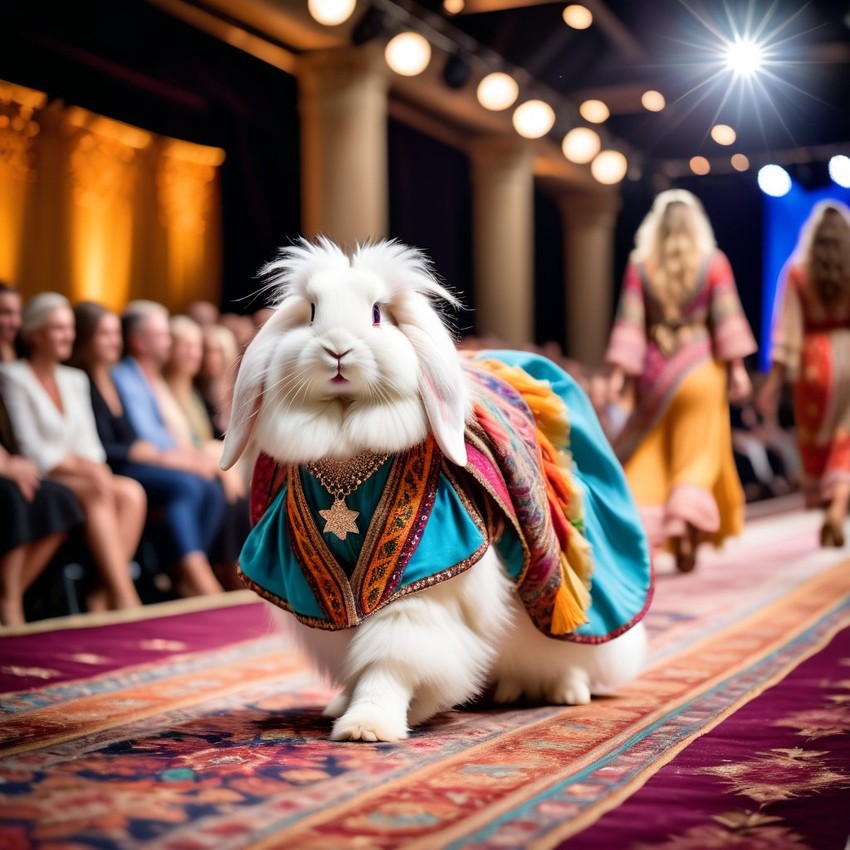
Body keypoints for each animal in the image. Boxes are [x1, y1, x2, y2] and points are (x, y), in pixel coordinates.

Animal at [222, 235, 652, 740]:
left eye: (376, 313)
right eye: (311, 312)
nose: (337, 348)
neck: (348, 463)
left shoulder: (423, 579)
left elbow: (391, 660)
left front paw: (368, 726)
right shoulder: (321, 598)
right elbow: (359, 659)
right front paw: (346, 709)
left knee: (572, 646)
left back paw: (566, 691)